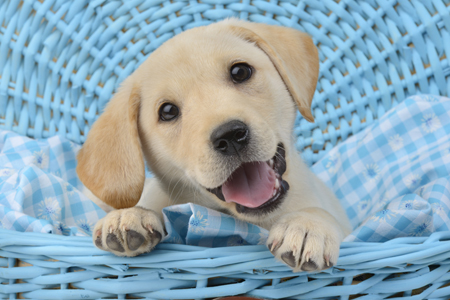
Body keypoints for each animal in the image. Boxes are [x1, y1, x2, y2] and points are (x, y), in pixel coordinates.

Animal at [76, 18, 352, 272]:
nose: (230, 136)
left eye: (240, 72)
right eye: (167, 111)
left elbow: (323, 214)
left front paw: (307, 226)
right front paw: (130, 214)